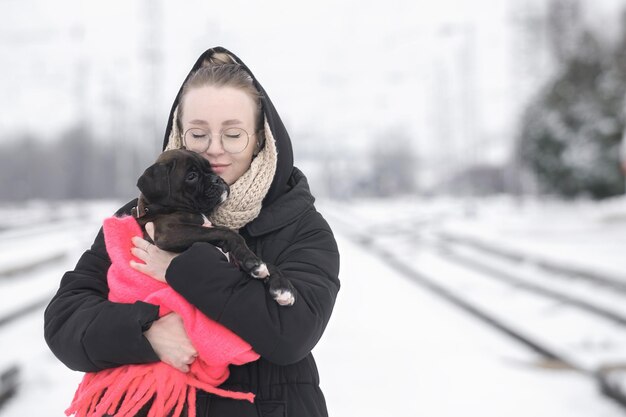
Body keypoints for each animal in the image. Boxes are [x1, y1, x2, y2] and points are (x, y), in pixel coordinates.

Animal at [130, 150, 294, 306]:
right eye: (192, 176)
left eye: (211, 168)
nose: (216, 179)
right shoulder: (168, 233)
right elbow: (227, 232)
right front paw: (253, 263)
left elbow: (270, 265)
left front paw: (282, 287)